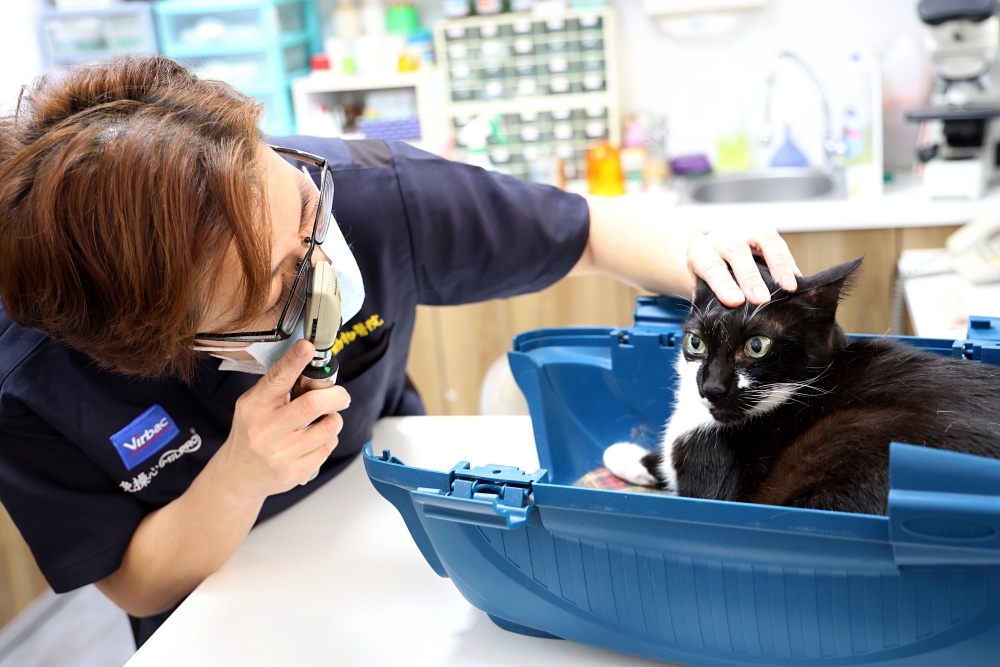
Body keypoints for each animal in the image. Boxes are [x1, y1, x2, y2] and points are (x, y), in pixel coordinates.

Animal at [600, 258, 1000, 516]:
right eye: (695, 343)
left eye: (757, 346)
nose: (712, 388)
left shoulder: (709, 481)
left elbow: (667, 476)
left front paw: (622, 453)